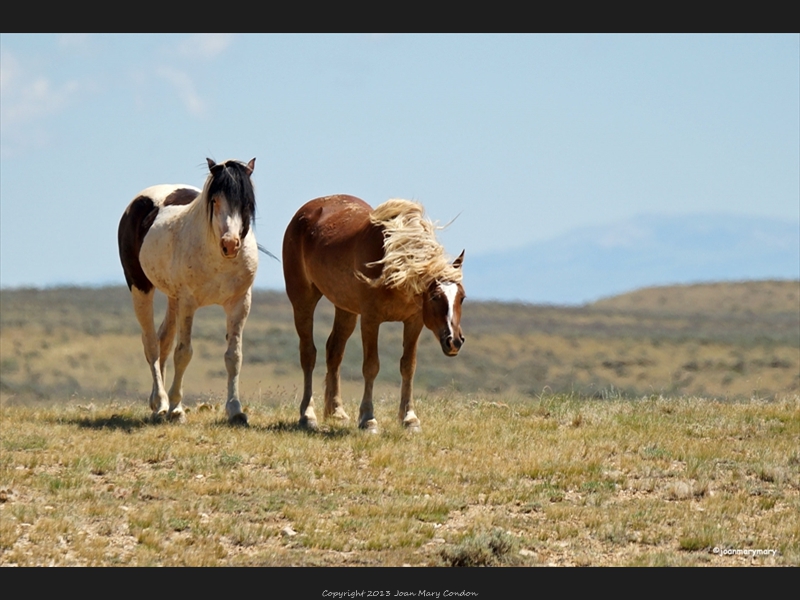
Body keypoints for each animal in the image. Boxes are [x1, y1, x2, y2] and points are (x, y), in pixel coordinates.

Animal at [117, 157, 256, 424]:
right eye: (214, 200)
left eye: (245, 202)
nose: (230, 244)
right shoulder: (189, 303)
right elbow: (183, 353)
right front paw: (176, 409)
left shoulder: (239, 303)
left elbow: (234, 356)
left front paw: (235, 410)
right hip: (141, 288)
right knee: (151, 344)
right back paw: (161, 402)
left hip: (173, 299)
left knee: (163, 340)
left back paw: (156, 403)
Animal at [282, 195, 466, 434]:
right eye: (435, 297)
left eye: (461, 297)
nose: (454, 341)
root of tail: (307, 210)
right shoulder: (371, 320)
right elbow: (371, 366)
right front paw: (368, 420)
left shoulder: (414, 322)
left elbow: (408, 366)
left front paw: (410, 419)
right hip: (303, 300)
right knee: (308, 354)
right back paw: (307, 416)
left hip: (346, 309)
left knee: (334, 351)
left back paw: (337, 412)